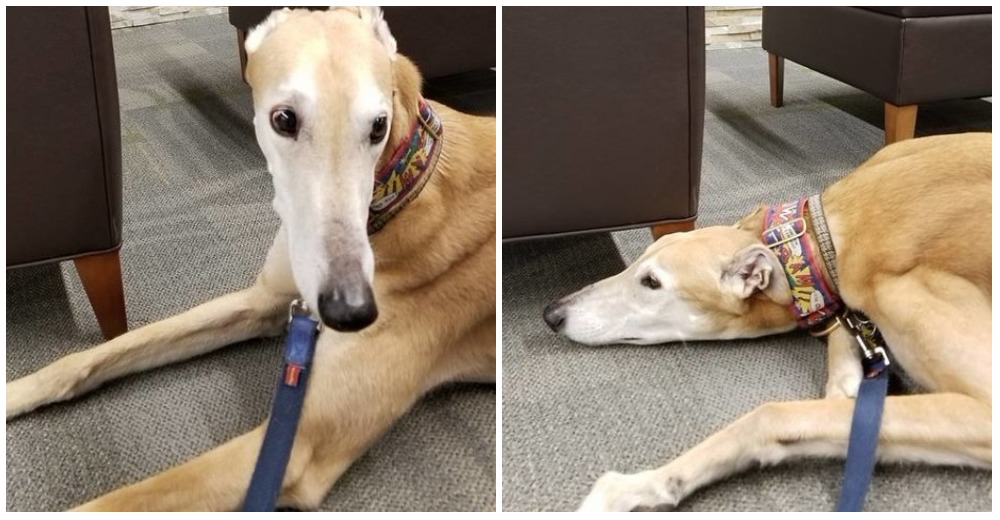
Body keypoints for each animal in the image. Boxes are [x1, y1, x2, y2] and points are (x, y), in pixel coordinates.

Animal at [4, 7, 496, 512]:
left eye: (378, 126)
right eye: (284, 119)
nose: (351, 310)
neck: (405, 188)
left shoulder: (297, 446)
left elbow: (115, 502)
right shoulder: (265, 301)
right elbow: (96, 355)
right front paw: (13, 394)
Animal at [544, 132, 988, 510]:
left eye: (651, 282)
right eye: (638, 262)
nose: (552, 314)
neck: (824, 239)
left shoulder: (984, 403)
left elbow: (771, 414)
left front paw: (641, 485)